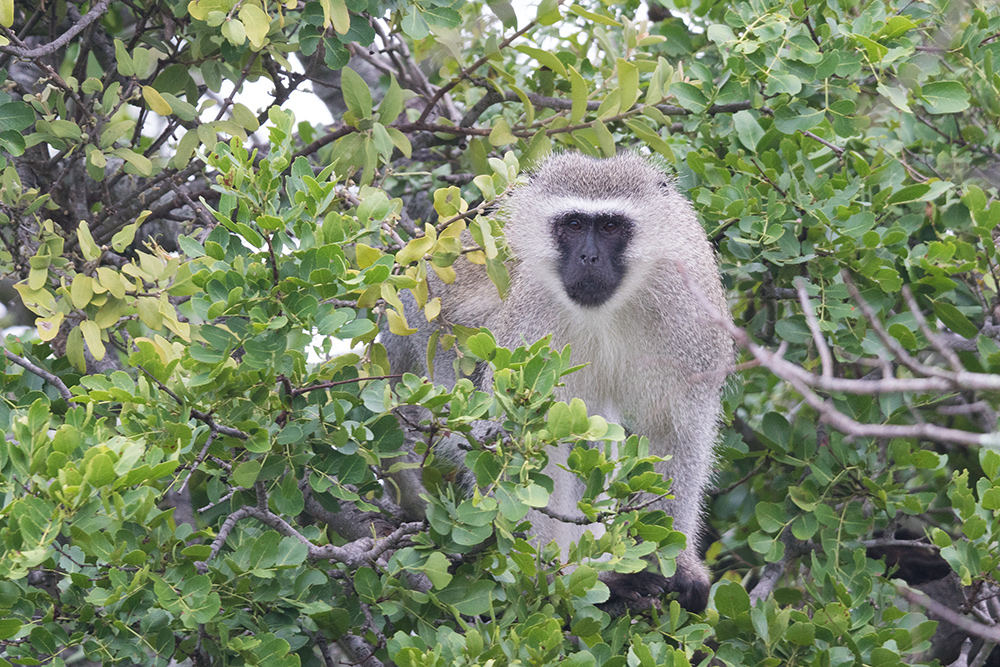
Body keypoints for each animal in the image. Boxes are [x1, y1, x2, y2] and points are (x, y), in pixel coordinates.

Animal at [386, 154, 732, 612]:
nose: (587, 257)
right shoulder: (531, 326)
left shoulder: (688, 313)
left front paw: (675, 565)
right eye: (572, 224)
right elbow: (517, 443)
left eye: (610, 226)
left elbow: (674, 433)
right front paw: (549, 579)